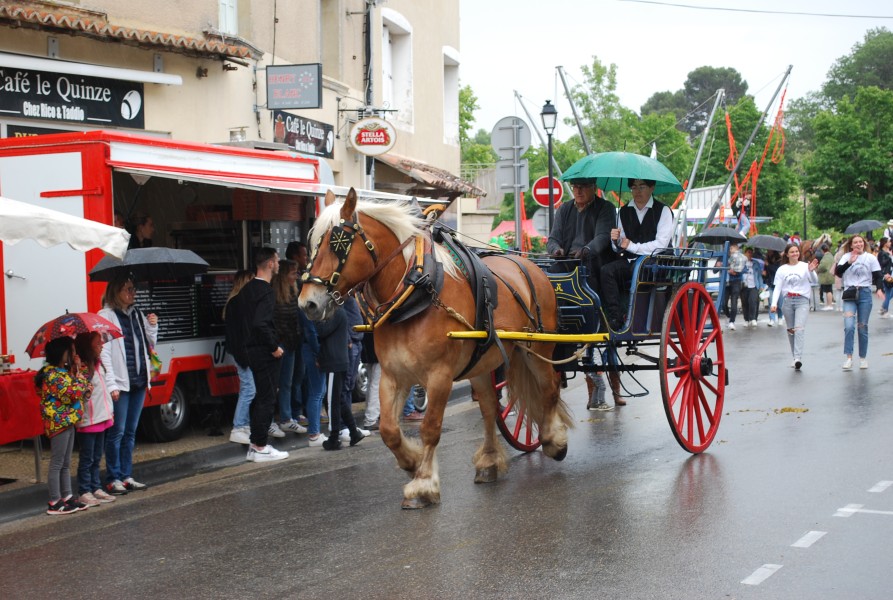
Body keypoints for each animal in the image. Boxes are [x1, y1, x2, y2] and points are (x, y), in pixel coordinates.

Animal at [296, 190, 568, 508]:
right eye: (313, 243)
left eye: (337, 242)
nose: (308, 304)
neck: (416, 293)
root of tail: (531, 267)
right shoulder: (393, 375)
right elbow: (389, 430)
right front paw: (412, 463)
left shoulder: (440, 376)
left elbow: (430, 427)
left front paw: (424, 484)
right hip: (481, 363)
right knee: (490, 409)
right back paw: (489, 461)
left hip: (537, 349)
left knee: (549, 388)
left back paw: (553, 441)